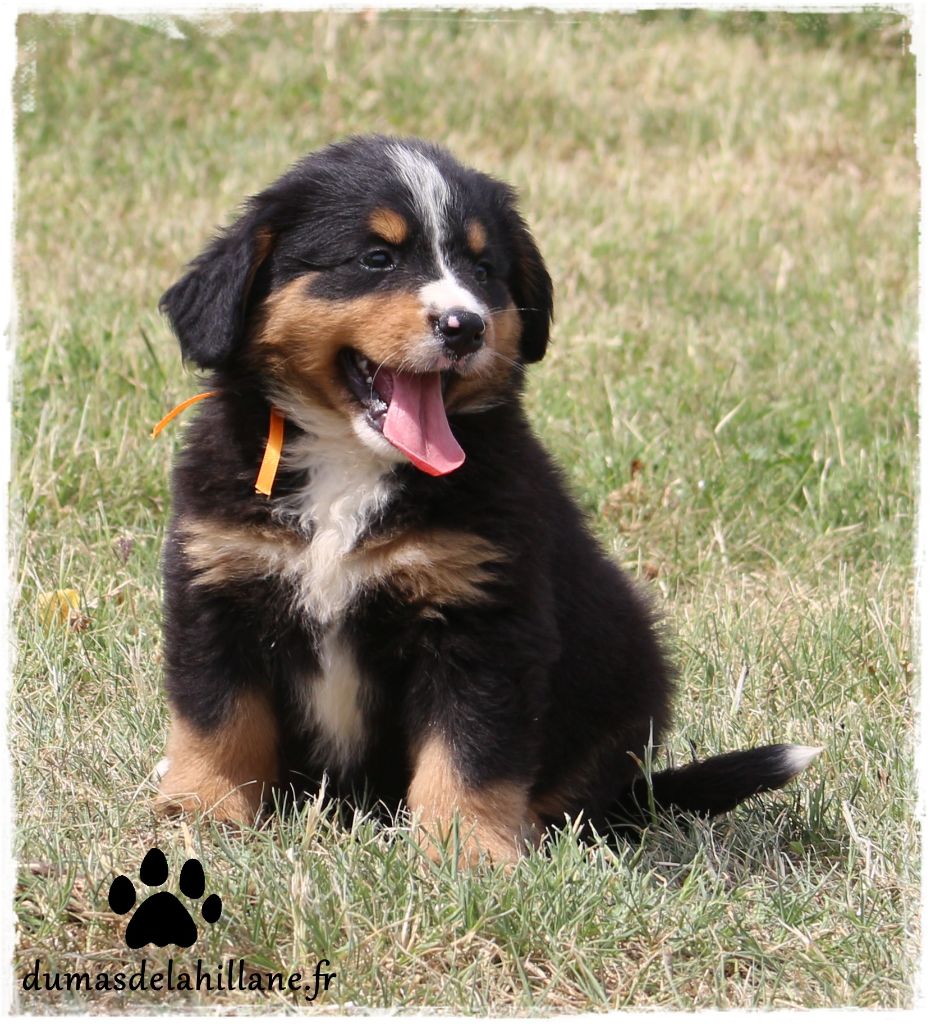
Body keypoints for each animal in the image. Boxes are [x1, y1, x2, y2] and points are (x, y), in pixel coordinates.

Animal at [155, 135, 819, 863]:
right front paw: (201, 813)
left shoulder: (481, 616)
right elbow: (220, 718)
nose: (463, 326)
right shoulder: (220, 587)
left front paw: (465, 850)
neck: (349, 464)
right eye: (376, 258)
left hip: (626, 666)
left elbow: (469, 749)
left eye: (481, 268)